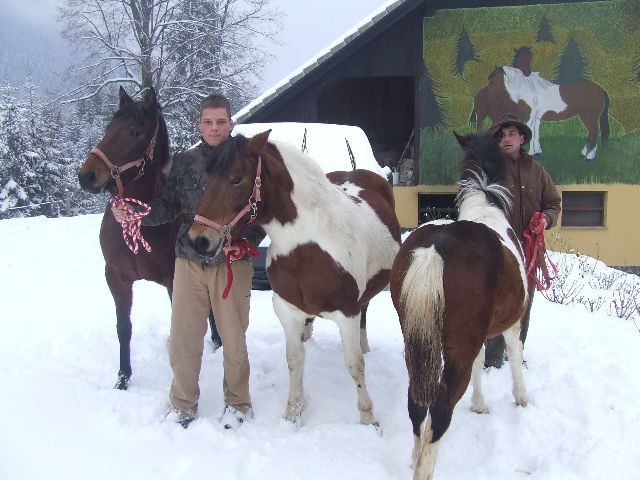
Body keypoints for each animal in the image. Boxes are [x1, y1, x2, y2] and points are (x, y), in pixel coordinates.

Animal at [78, 87, 220, 390]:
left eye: (134, 131)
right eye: (108, 127)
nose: (87, 176)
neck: (140, 222)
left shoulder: (174, 278)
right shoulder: (116, 276)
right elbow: (123, 327)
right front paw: (123, 378)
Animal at [189, 131, 400, 428]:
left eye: (237, 178)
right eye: (206, 179)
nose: (198, 240)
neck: (307, 244)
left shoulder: (347, 313)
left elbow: (355, 364)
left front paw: (368, 418)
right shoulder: (287, 310)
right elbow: (294, 360)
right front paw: (293, 413)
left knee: (365, 314)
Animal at [390, 129, 528, 478]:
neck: (485, 207)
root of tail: (435, 250)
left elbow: (481, 361)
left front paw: (479, 404)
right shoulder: (512, 321)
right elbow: (514, 352)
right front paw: (521, 398)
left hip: (417, 342)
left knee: (416, 403)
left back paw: (415, 457)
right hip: (456, 352)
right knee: (439, 412)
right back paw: (424, 469)